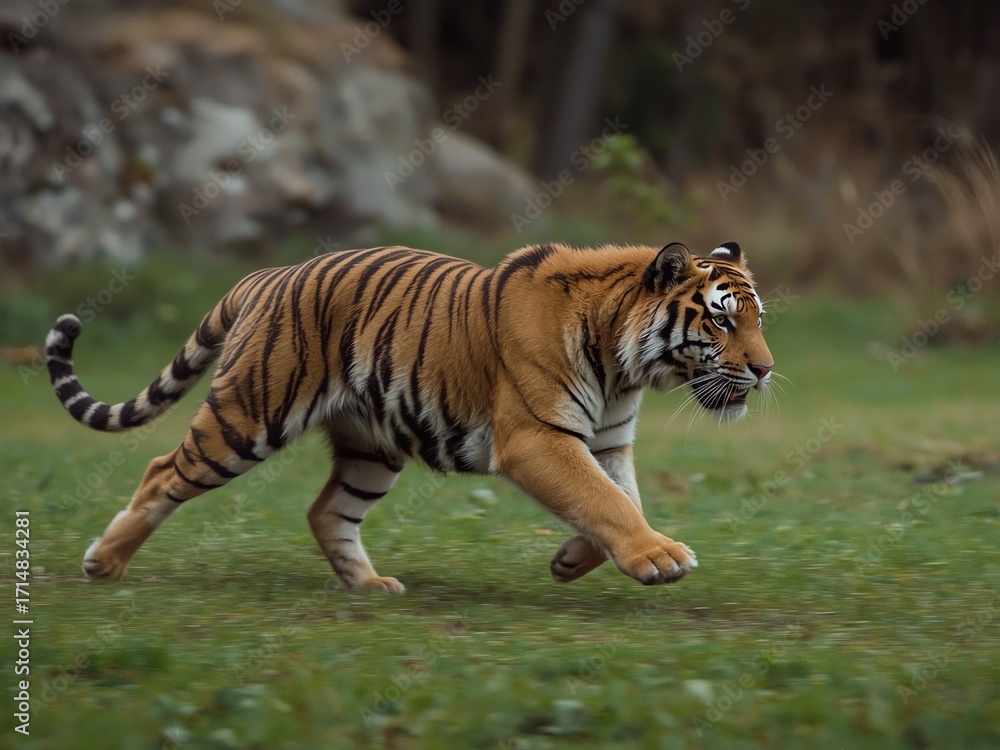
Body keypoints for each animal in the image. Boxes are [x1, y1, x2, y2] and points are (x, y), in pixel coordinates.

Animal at [45, 240, 774, 593]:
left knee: (327, 511)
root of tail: (268, 275)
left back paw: (370, 585)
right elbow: (607, 503)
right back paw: (104, 564)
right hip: (247, 417)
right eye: (720, 319)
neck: (626, 367)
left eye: (759, 318)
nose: (766, 370)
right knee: (160, 470)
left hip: (371, 448)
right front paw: (660, 558)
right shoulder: (539, 439)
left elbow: (617, 501)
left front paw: (572, 562)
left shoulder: (606, 444)